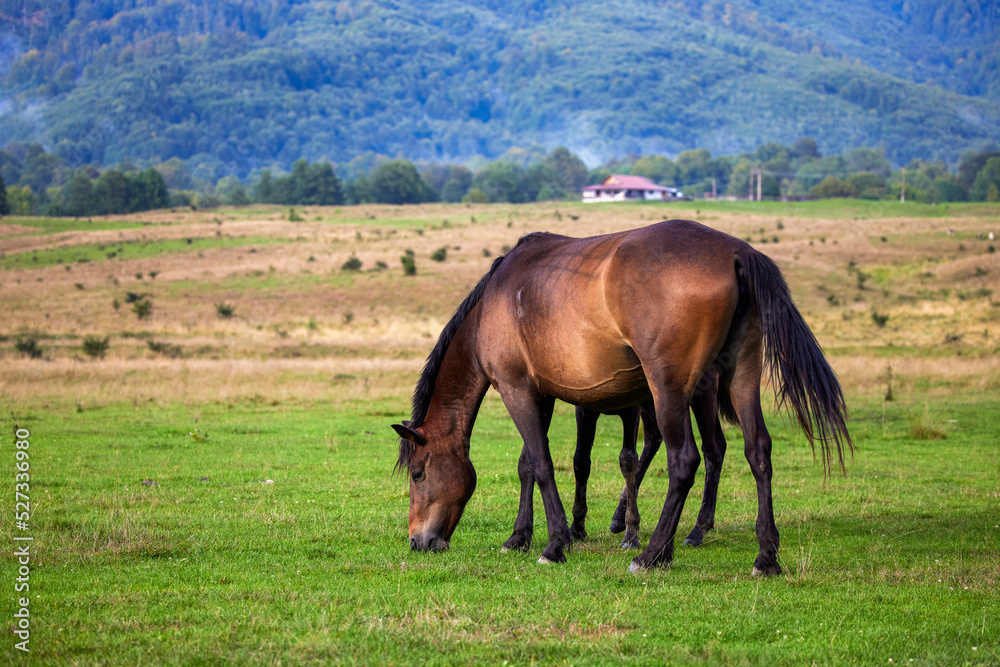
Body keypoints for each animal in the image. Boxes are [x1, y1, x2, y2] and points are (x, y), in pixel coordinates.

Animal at [394, 219, 848, 576]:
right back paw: (764, 557)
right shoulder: (542, 393)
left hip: (671, 390)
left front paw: (556, 544)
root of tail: (737, 252)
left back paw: (653, 554)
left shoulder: (516, 388)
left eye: (417, 474)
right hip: (740, 376)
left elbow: (541, 464)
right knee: (758, 452)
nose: (418, 541)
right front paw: (519, 537)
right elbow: (527, 465)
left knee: (686, 460)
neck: (494, 302)